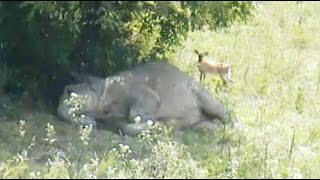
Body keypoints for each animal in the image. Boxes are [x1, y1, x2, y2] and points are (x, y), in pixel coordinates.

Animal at [58, 61, 228, 136]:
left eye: (68, 90)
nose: (59, 109)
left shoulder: (140, 91)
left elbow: (139, 110)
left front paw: (152, 122)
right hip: (199, 123)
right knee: (205, 126)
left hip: (204, 96)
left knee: (225, 115)